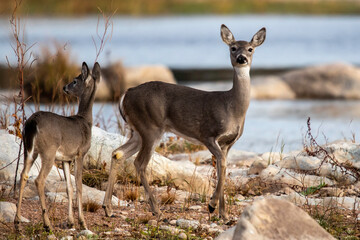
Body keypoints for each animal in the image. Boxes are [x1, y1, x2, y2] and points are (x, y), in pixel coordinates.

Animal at [14, 62, 100, 232]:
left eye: (74, 81)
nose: (64, 87)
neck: (86, 121)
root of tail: (32, 123)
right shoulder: (80, 153)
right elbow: (79, 186)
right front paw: (82, 222)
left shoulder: (66, 158)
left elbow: (69, 187)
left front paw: (71, 221)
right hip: (49, 151)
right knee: (39, 180)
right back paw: (47, 224)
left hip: (29, 149)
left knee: (23, 175)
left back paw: (17, 220)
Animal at [102, 24, 266, 219]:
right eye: (233, 48)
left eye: (250, 49)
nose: (242, 58)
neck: (232, 107)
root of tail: (126, 94)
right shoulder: (207, 134)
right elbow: (222, 165)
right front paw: (212, 205)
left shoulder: (228, 143)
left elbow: (222, 170)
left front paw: (224, 215)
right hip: (150, 127)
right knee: (139, 163)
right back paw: (156, 210)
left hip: (136, 131)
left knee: (117, 153)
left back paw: (108, 208)